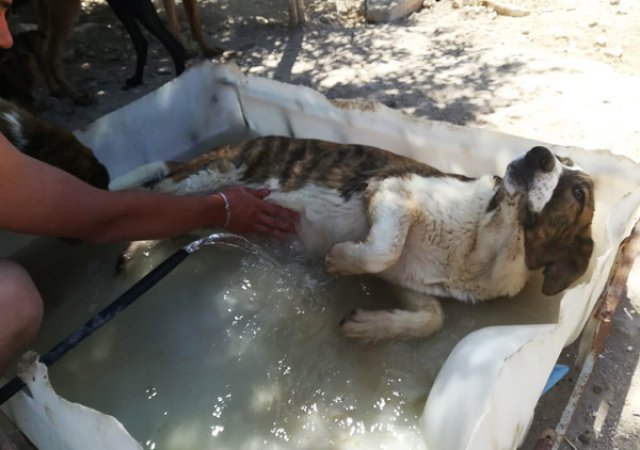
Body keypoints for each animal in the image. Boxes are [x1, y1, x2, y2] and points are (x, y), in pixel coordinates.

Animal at [131, 136, 595, 342]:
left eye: (579, 192)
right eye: (558, 158)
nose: (539, 153)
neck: (489, 238)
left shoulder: (410, 283)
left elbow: (432, 318)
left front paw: (366, 326)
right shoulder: (391, 190)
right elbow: (382, 251)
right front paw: (339, 258)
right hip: (209, 176)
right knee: (152, 192)